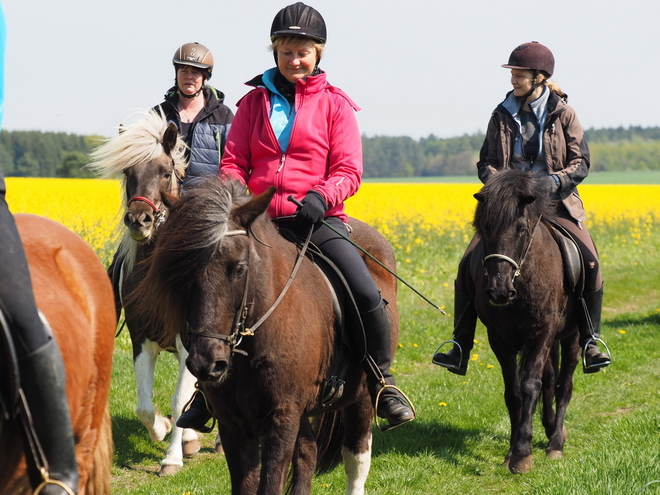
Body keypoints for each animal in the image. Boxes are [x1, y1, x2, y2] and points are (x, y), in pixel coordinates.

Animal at [86, 110, 204, 474]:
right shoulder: (142, 340)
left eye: (166, 172)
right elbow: (144, 407)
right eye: (128, 172)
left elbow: (180, 400)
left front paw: (172, 457)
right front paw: (165, 429)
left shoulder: (189, 344)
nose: (140, 220)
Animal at [133, 180, 402, 494]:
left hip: (360, 398)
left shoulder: (282, 417)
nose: (206, 363)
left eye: (239, 268)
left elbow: (272, 483)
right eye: (182, 271)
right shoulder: (234, 421)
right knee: (307, 453)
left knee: (356, 459)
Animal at [472, 170, 580, 472]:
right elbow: (514, 392)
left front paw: (522, 453)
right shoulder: (499, 339)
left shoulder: (542, 332)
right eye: (484, 228)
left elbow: (531, 384)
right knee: (551, 379)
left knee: (564, 384)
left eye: (521, 229)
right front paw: (511, 451)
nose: (498, 291)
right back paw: (552, 427)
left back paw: (555, 443)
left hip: (572, 336)